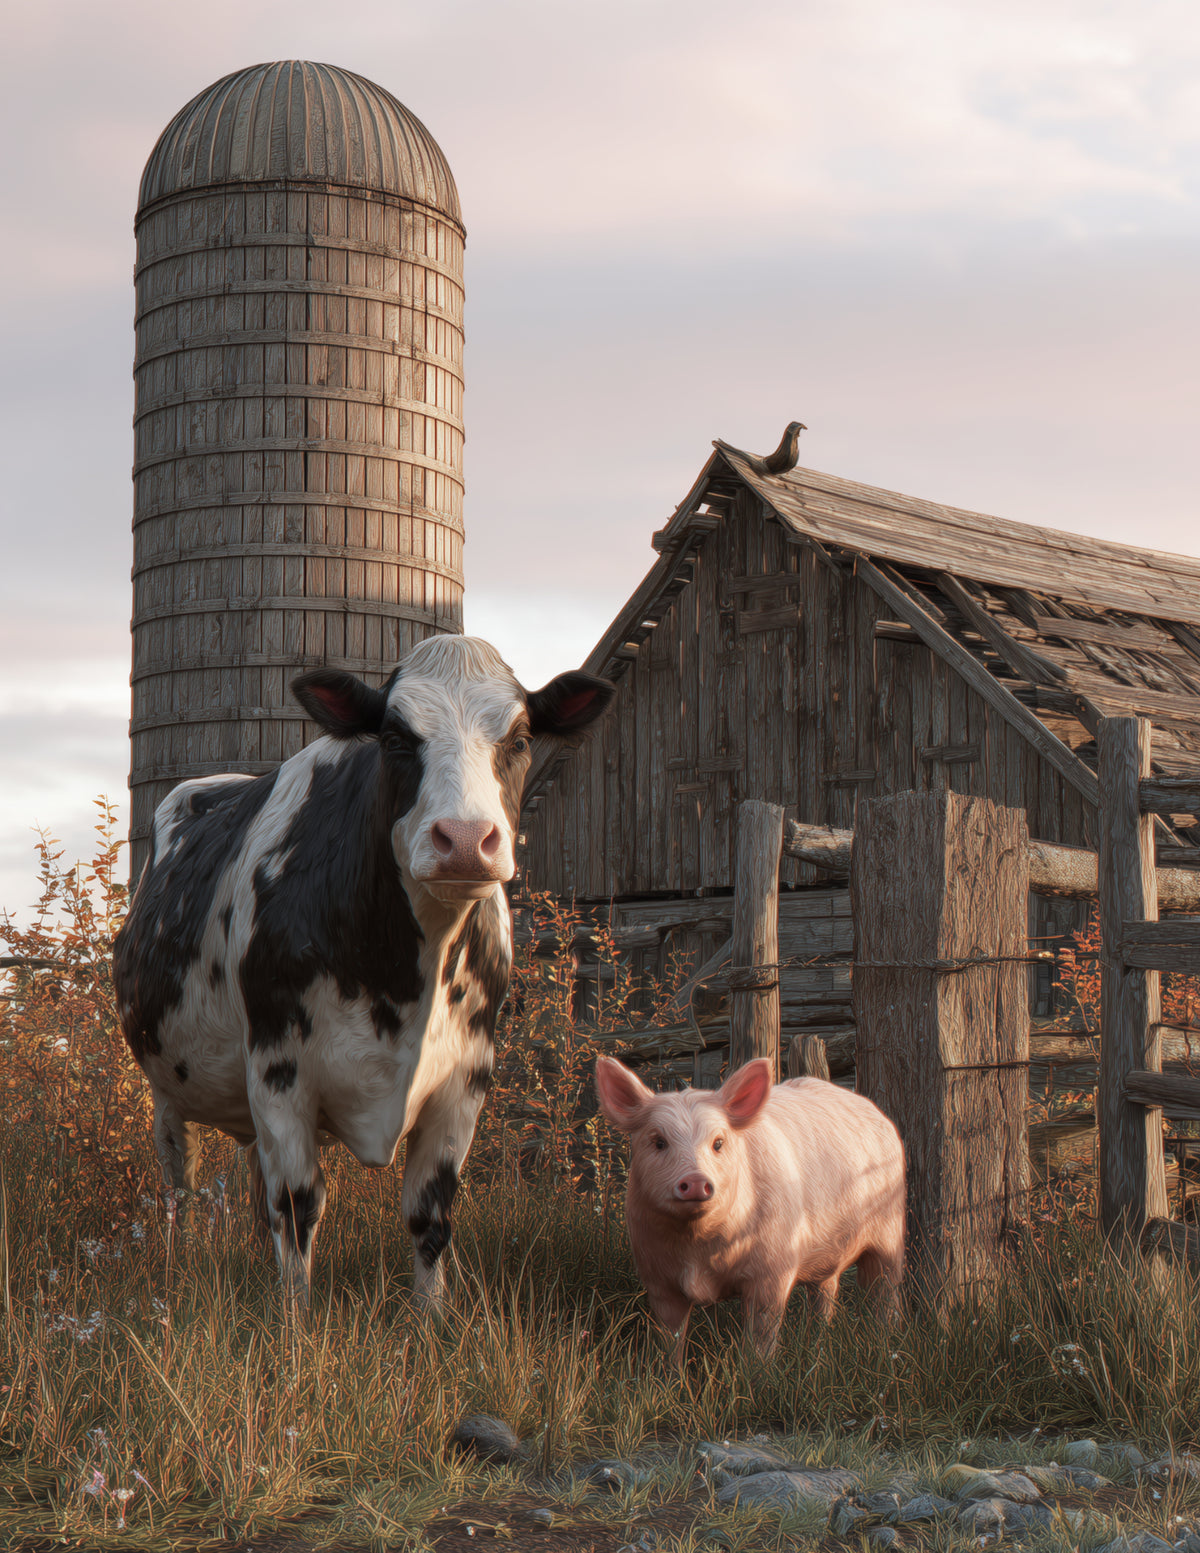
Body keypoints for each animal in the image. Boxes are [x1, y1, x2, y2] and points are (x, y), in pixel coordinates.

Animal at [114, 636, 613, 1309]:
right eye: (397, 738)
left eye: (519, 737)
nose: (464, 840)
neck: (404, 979)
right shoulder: (279, 1070)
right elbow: (299, 1207)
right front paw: (295, 1322)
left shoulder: (466, 1079)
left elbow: (430, 1214)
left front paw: (431, 1320)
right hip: (168, 1088)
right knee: (181, 1183)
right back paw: (183, 1263)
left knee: (254, 1194)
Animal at [594, 1056, 905, 1356]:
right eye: (659, 1142)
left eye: (718, 1143)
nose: (695, 1180)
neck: (698, 1250)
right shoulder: (657, 1278)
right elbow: (670, 1342)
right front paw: (668, 1370)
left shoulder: (773, 1271)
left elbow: (761, 1338)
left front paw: (757, 1370)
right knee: (824, 1293)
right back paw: (816, 1346)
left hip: (890, 1231)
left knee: (885, 1289)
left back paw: (885, 1341)